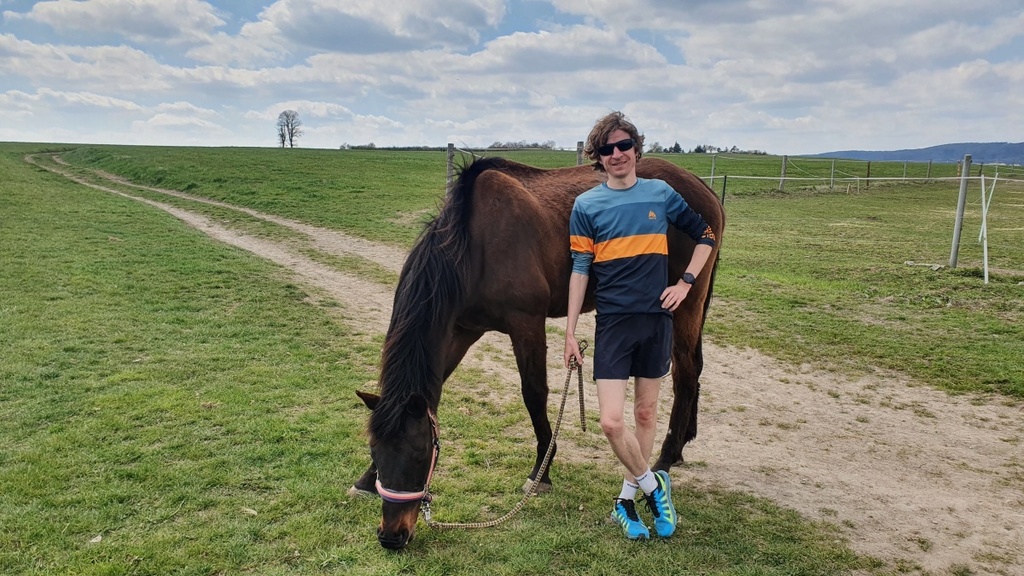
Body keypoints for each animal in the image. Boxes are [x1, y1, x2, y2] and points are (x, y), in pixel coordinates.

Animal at [356, 153, 724, 545]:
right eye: (375, 450)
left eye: (421, 453)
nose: (392, 536)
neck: (475, 244)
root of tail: (704, 191)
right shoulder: (463, 330)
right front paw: (365, 479)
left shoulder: (526, 324)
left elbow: (534, 393)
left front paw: (541, 472)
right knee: (694, 369)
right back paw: (682, 444)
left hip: (684, 304)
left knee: (686, 375)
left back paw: (665, 458)